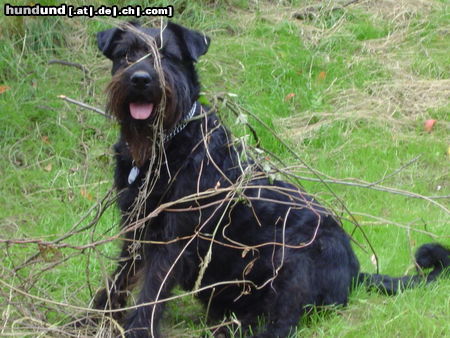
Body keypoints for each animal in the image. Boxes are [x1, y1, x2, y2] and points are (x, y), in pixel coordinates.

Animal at [93, 22, 448, 336]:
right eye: (126, 54)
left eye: (167, 55)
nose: (141, 79)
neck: (162, 145)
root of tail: (355, 272)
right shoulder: (136, 227)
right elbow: (119, 278)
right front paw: (94, 319)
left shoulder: (172, 239)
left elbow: (151, 292)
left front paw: (135, 330)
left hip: (290, 260)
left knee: (283, 322)